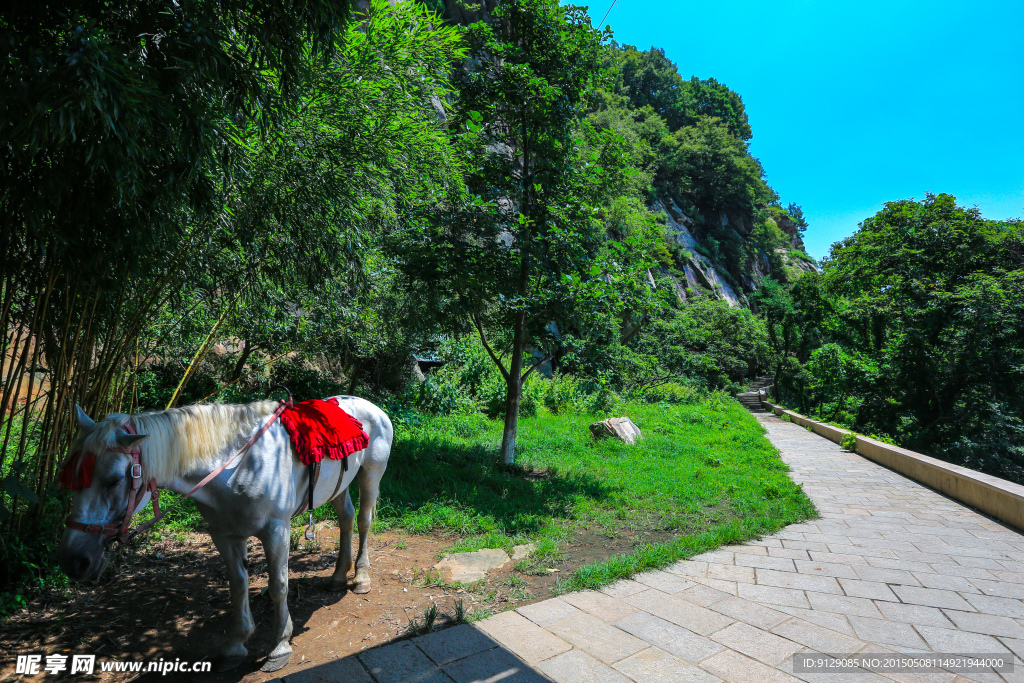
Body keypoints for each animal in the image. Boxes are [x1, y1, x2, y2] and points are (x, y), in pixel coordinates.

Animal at [55, 397, 391, 671]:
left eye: (113, 480)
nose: (74, 561)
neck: (238, 466)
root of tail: (369, 406)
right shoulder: (224, 535)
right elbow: (238, 585)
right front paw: (236, 643)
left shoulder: (276, 530)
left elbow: (278, 585)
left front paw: (279, 646)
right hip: (339, 485)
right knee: (346, 518)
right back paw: (337, 576)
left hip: (371, 473)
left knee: (363, 520)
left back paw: (361, 577)